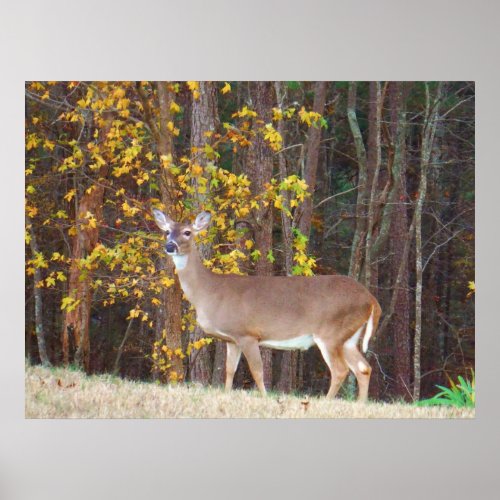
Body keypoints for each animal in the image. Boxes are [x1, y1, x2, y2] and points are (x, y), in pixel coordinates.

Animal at [152, 208, 382, 402]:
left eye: (187, 232)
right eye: (167, 231)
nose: (170, 246)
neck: (209, 292)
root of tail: (371, 299)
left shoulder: (248, 334)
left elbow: (257, 371)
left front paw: (264, 398)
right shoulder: (232, 338)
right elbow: (229, 370)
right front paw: (227, 394)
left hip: (331, 332)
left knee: (341, 370)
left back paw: (326, 403)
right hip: (348, 337)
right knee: (363, 368)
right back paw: (360, 404)